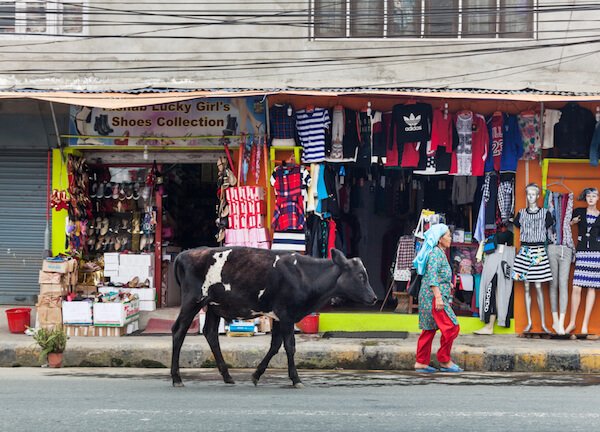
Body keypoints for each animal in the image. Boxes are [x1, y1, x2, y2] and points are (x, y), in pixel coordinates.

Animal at [169, 246, 376, 388]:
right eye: (360, 276)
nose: (374, 298)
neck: (305, 275)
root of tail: (186, 253)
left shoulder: (279, 316)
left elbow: (275, 345)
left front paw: (256, 375)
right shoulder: (286, 315)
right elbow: (290, 346)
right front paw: (296, 379)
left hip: (213, 306)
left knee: (210, 333)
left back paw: (227, 376)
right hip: (193, 301)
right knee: (179, 331)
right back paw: (176, 378)